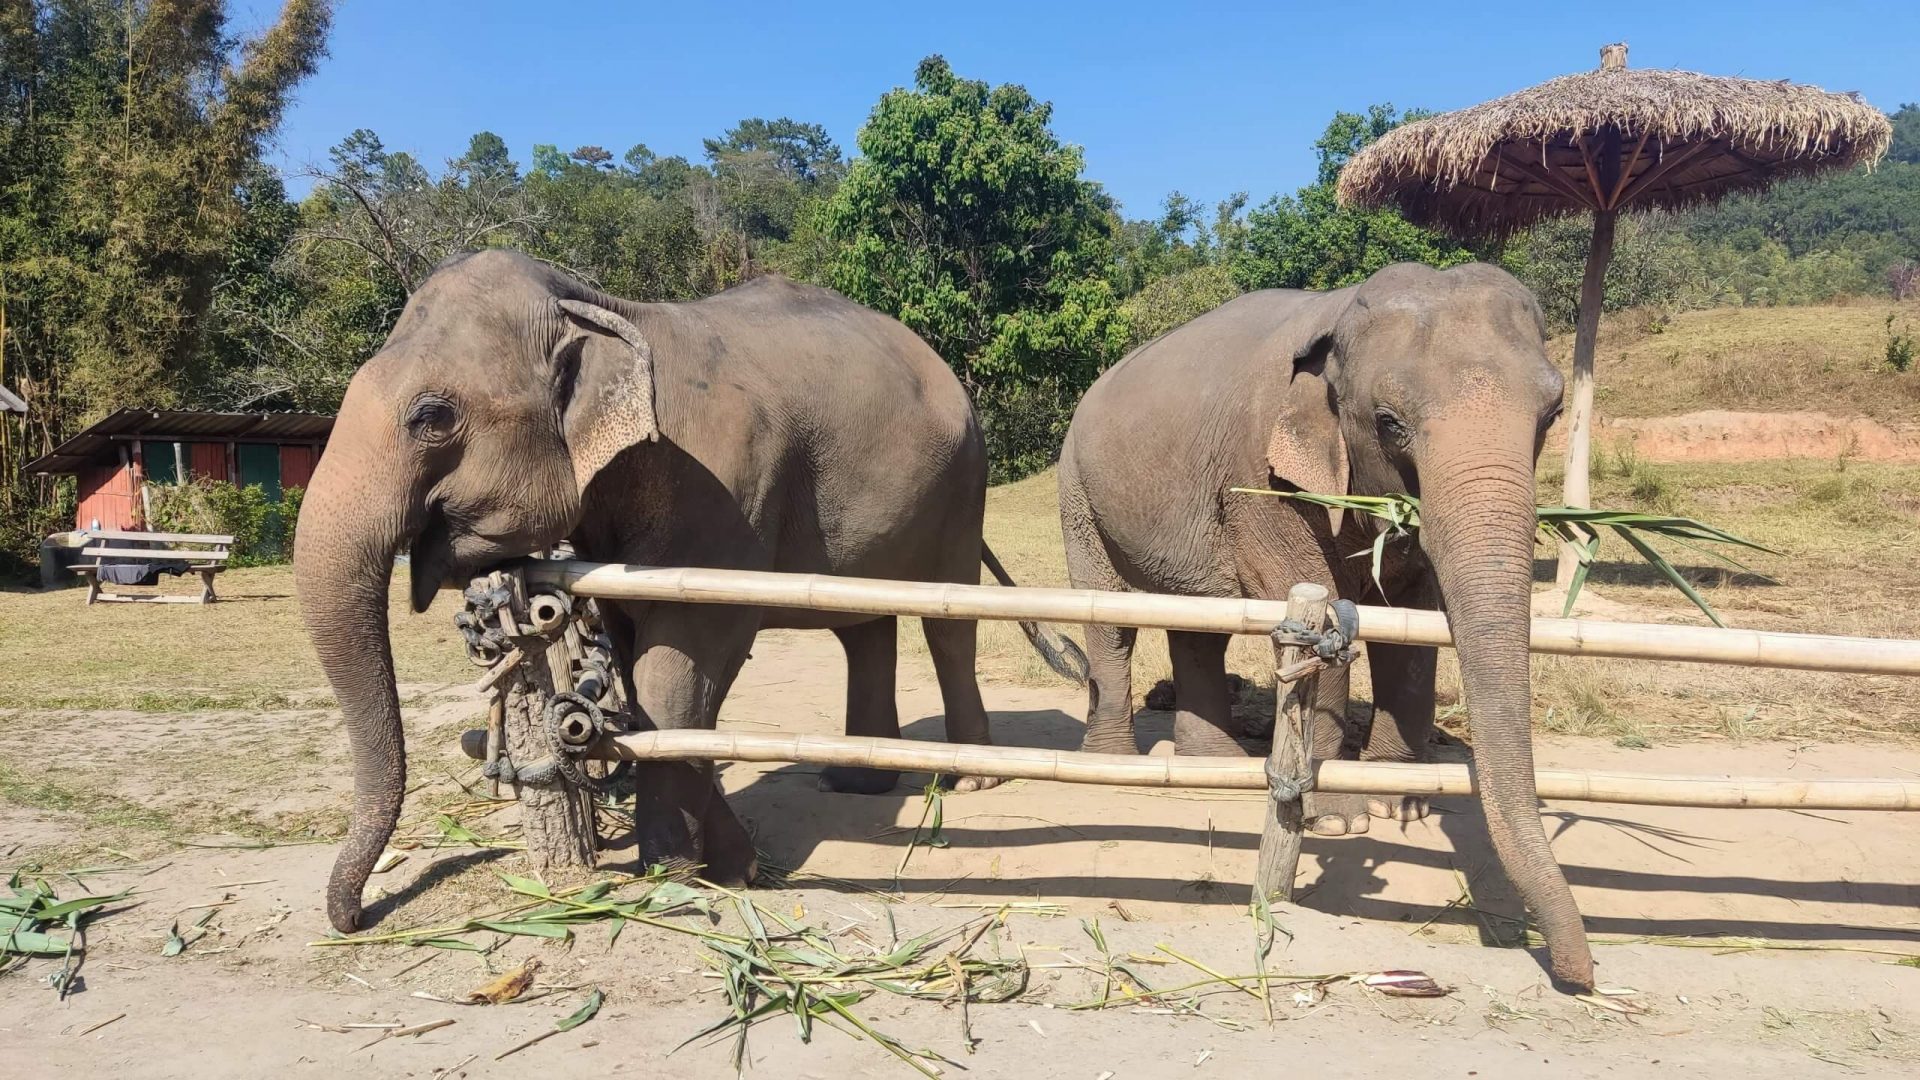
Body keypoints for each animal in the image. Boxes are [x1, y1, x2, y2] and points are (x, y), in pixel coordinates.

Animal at [295, 248, 1085, 936]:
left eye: (432, 416)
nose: (356, 917)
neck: (604, 307)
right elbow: (633, 651)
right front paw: (730, 865)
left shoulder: (723, 490)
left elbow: (686, 654)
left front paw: (678, 870)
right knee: (860, 624)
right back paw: (852, 783)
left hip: (964, 481)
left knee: (945, 620)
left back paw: (968, 783)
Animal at [1056, 262, 1592, 990]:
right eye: (1389, 422)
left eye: (1552, 414)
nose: (1578, 974)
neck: (1335, 318)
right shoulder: (1257, 476)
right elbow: (1307, 587)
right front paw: (1338, 819)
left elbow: (1413, 622)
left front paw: (1401, 800)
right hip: (1078, 489)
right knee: (1110, 616)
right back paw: (1115, 764)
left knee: (1198, 624)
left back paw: (1212, 762)